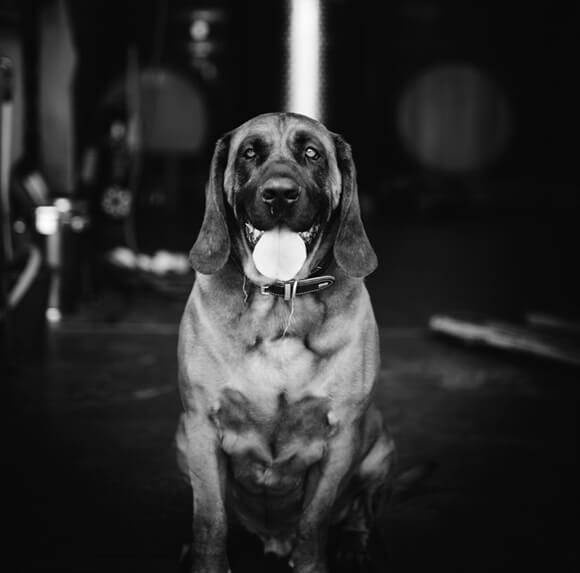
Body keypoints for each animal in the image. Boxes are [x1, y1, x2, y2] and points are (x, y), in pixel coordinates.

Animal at [176, 112, 395, 573]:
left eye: (311, 153)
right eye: (249, 153)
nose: (279, 193)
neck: (280, 301)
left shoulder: (341, 438)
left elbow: (314, 521)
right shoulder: (201, 429)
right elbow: (210, 521)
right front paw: (205, 558)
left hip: (380, 446)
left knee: (362, 508)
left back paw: (355, 542)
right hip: (181, 441)